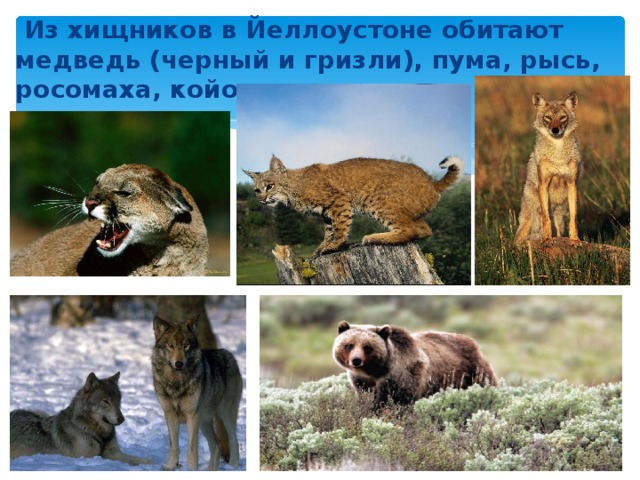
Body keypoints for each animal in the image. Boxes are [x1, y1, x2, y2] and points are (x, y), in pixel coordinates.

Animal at [10, 371, 151, 466]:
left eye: (118, 401)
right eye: (105, 401)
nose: (121, 419)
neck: (94, 431)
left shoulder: (113, 453)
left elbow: (141, 459)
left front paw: (151, 462)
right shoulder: (90, 457)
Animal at [151, 315, 243, 471]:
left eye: (186, 346)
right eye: (170, 345)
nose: (179, 363)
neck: (176, 381)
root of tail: (229, 355)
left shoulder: (192, 416)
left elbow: (192, 448)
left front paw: (192, 469)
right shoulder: (170, 415)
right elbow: (173, 446)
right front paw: (171, 466)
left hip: (224, 415)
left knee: (233, 441)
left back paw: (233, 466)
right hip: (204, 421)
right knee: (216, 444)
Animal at [244, 155, 463, 255]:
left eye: (270, 186)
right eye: (257, 190)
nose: (262, 200)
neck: (292, 189)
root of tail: (431, 181)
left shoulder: (339, 201)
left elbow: (340, 227)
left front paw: (334, 246)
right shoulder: (326, 213)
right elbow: (329, 230)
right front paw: (323, 246)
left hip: (377, 199)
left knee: (409, 230)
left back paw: (373, 238)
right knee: (424, 231)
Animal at [332, 321, 498, 409]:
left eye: (367, 346)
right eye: (349, 345)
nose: (356, 360)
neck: (376, 371)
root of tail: (472, 341)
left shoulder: (403, 375)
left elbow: (400, 400)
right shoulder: (362, 381)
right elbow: (367, 397)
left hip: (473, 371)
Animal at [514, 91, 582, 245]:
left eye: (562, 117)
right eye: (548, 117)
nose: (555, 130)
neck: (558, 155)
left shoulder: (572, 184)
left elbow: (574, 218)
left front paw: (575, 239)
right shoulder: (543, 184)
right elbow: (546, 218)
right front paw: (546, 239)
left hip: (559, 217)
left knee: (558, 229)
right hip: (531, 218)